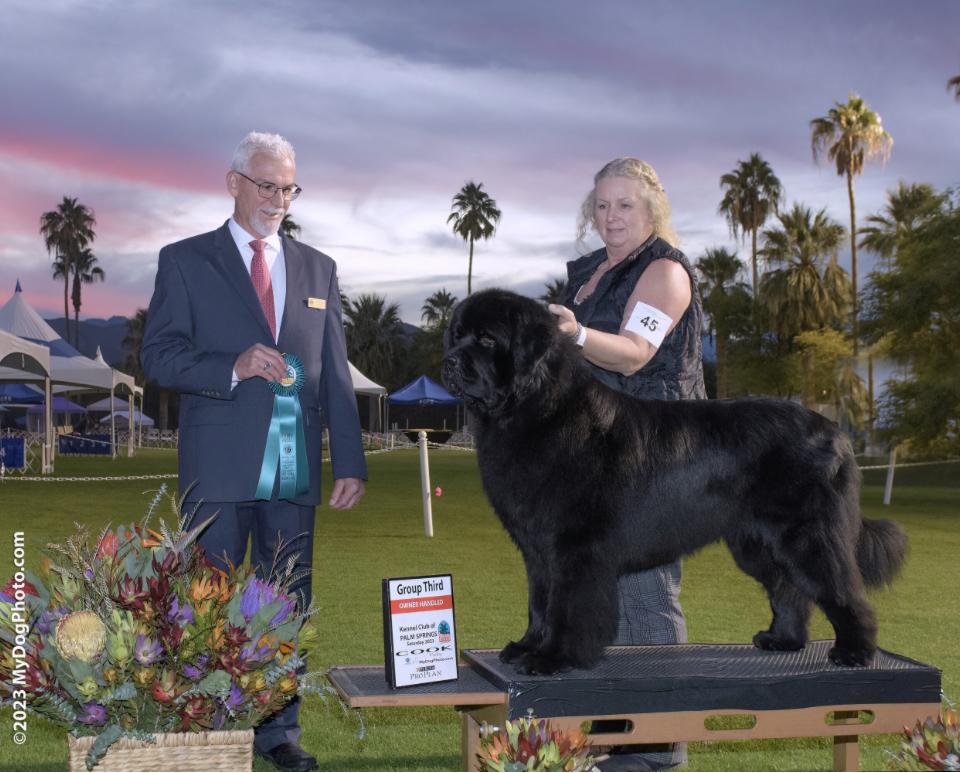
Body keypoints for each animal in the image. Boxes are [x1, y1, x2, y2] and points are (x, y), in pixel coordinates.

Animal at [441, 289, 906, 675]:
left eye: (486, 339)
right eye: (457, 335)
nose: (449, 361)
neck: (538, 408)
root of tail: (836, 432)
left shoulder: (574, 547)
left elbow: (566, 607)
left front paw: (553, 657)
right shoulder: (538, 548)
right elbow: (539, 602)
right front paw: (526, 646)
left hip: (808, 535)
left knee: (842, 588)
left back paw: (855, 651)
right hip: (756, 542)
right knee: (788, 587)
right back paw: (782, 640)